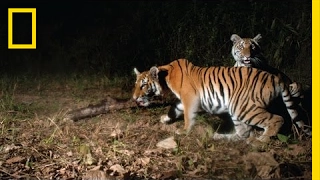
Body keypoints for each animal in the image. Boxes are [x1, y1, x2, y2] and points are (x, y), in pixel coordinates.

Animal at [132, 58, 310, 142]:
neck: (165, 77)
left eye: (143, 85)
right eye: (136, 84)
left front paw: (184, 131)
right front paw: (165, 119)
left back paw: (261, 141)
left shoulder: (190, 97)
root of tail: (276, 78)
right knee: (244, 132)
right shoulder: (183, 100)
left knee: (276, 119)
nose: (133, 98)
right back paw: (220, 137)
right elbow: (174, 109)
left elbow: (188, 116)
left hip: (243, 108)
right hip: (237, 109)